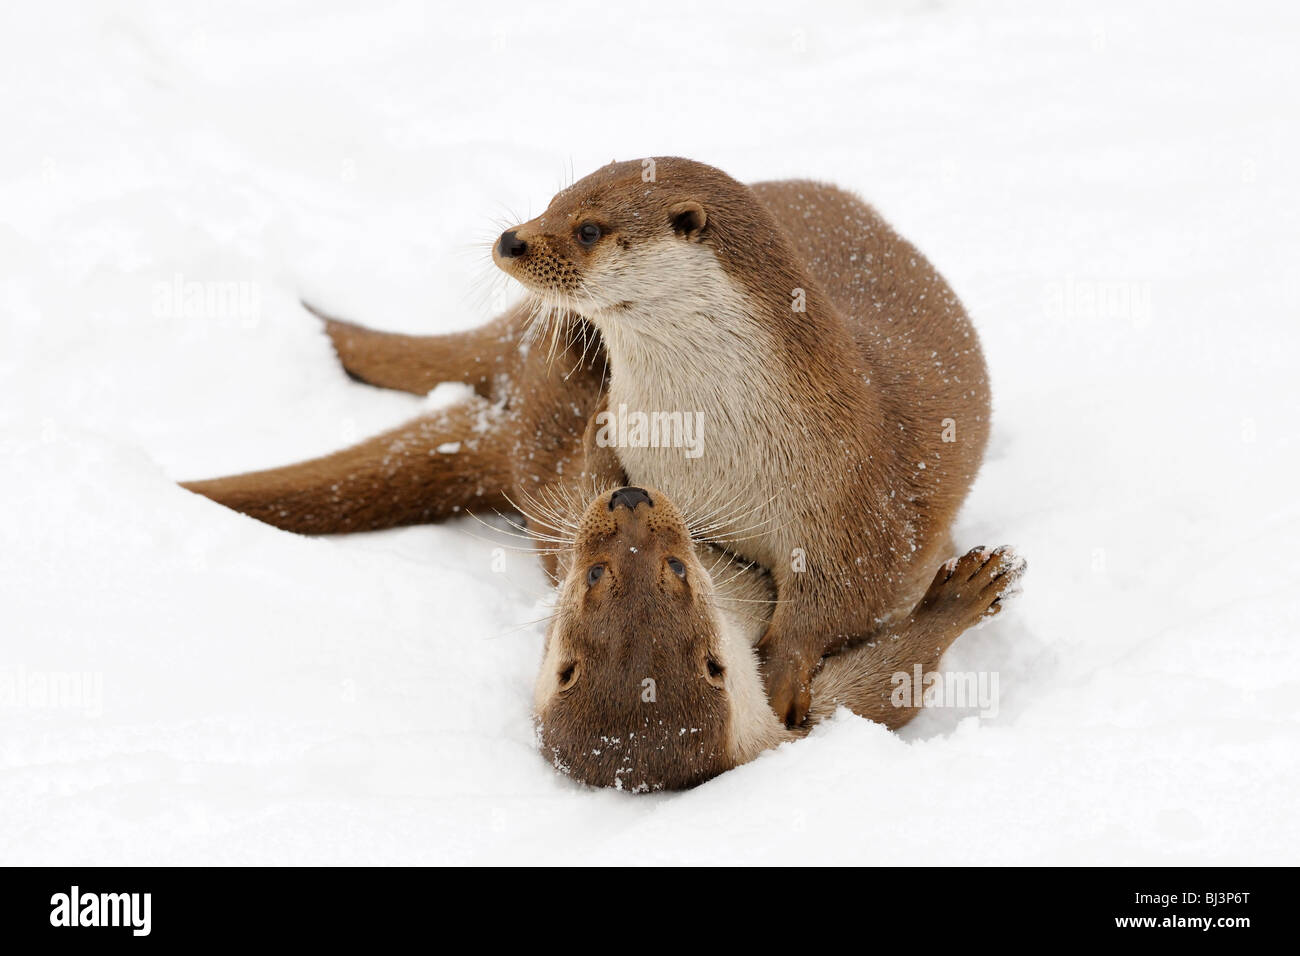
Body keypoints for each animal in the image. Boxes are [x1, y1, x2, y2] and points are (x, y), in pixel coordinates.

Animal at [185, 157, 993, 728]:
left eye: (590, 229)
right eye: (555, 200)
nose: (510, 238)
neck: (709, 449)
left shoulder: (859, 497)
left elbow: (837, 603)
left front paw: (783, 681)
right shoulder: (623, 431)